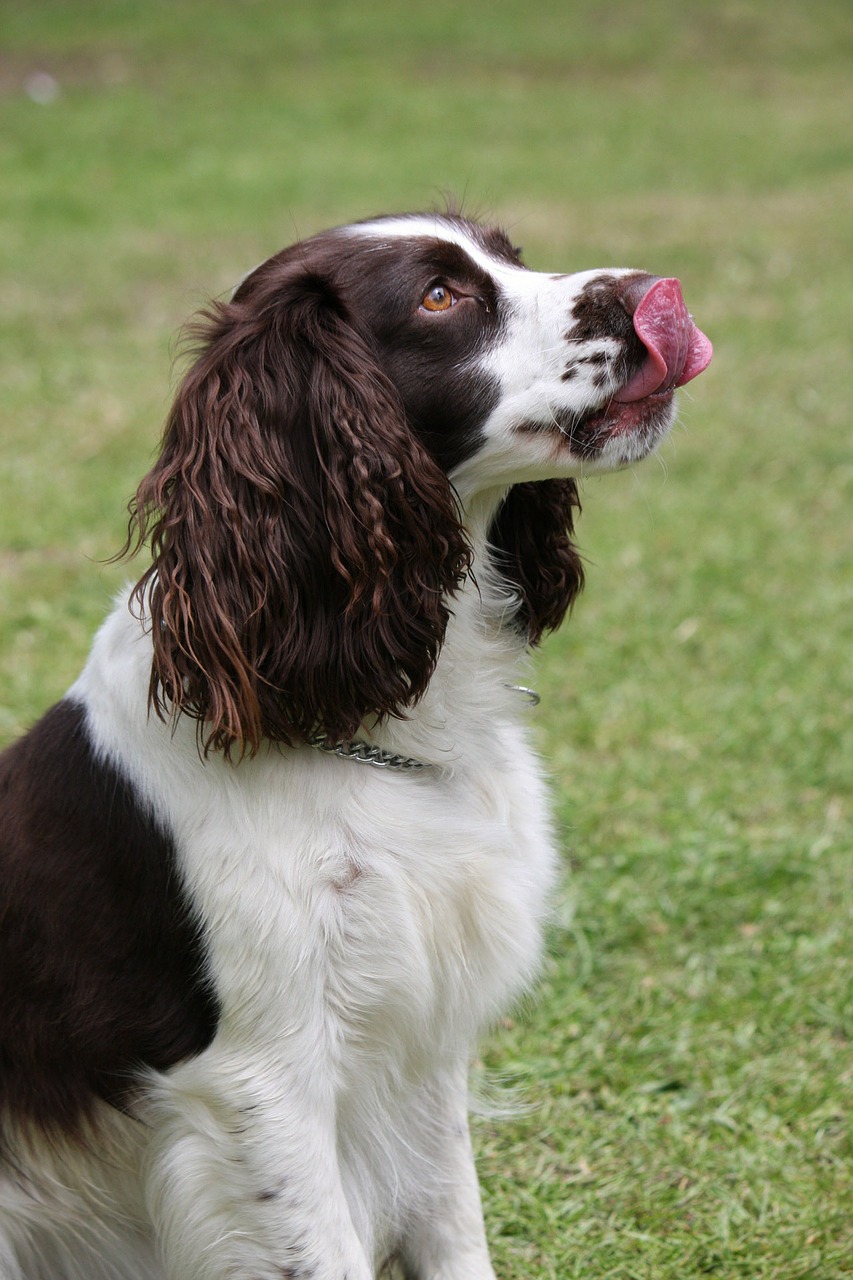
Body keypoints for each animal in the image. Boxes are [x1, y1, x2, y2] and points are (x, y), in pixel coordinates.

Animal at [0, 215, 712, 1274]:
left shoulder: (421, 1036)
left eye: (509, 254)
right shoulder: (259, 1080)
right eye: (438, 297)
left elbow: (453, 1228)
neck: (335, 715)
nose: (653, 293)